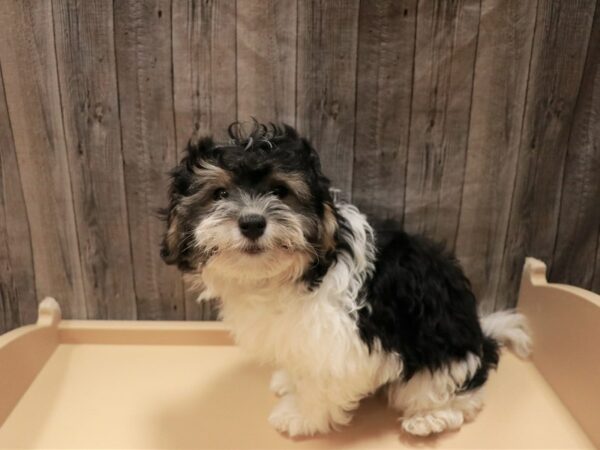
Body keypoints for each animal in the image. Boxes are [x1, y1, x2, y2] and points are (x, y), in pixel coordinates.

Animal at [159, 121, 528, 438]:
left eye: (280, 191)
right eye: (219, 194)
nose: (252, 222)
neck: (293, 272)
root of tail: (482, 336)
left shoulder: (339, 343)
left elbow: (320, 384)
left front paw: (300, 415)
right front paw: (288, 381)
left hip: (441, 354)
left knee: (454, 393)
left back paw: (430, 418)